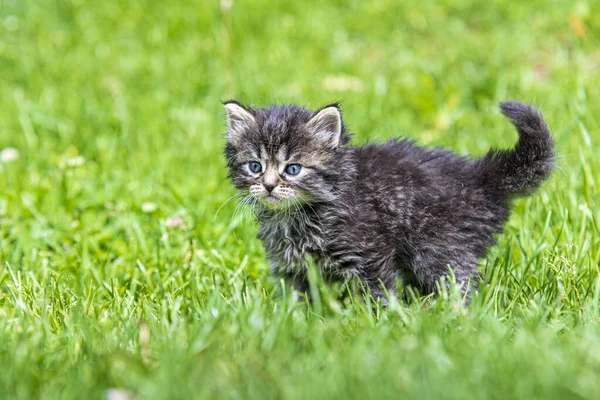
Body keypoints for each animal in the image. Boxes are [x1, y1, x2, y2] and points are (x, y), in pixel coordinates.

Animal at [223, 100, 556, 304]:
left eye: (293, 169)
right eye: (255, 166)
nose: (268, 185)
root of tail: (480, 176)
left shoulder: (369, 253)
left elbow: (378, 293)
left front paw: (377, 323)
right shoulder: (292, 267)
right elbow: (295, 298)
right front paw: (292, 318)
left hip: (439, 247)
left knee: (460, 283)